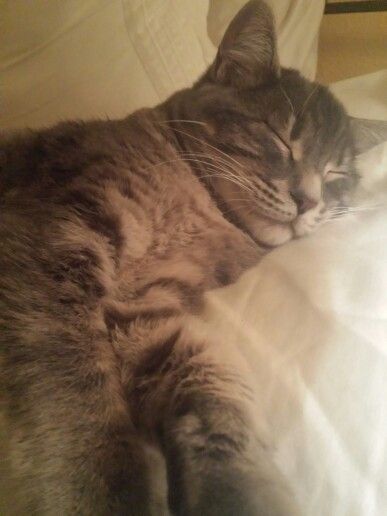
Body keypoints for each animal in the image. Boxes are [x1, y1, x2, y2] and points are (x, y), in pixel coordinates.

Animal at [0, 1, 387, 516]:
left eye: (336, 175)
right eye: (281, 139)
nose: (308, 200)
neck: (200, 211)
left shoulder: (146, 310)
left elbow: (214, 395)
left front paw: (239, 493)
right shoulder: (55, 240)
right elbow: (74, 402)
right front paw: (104, 493)